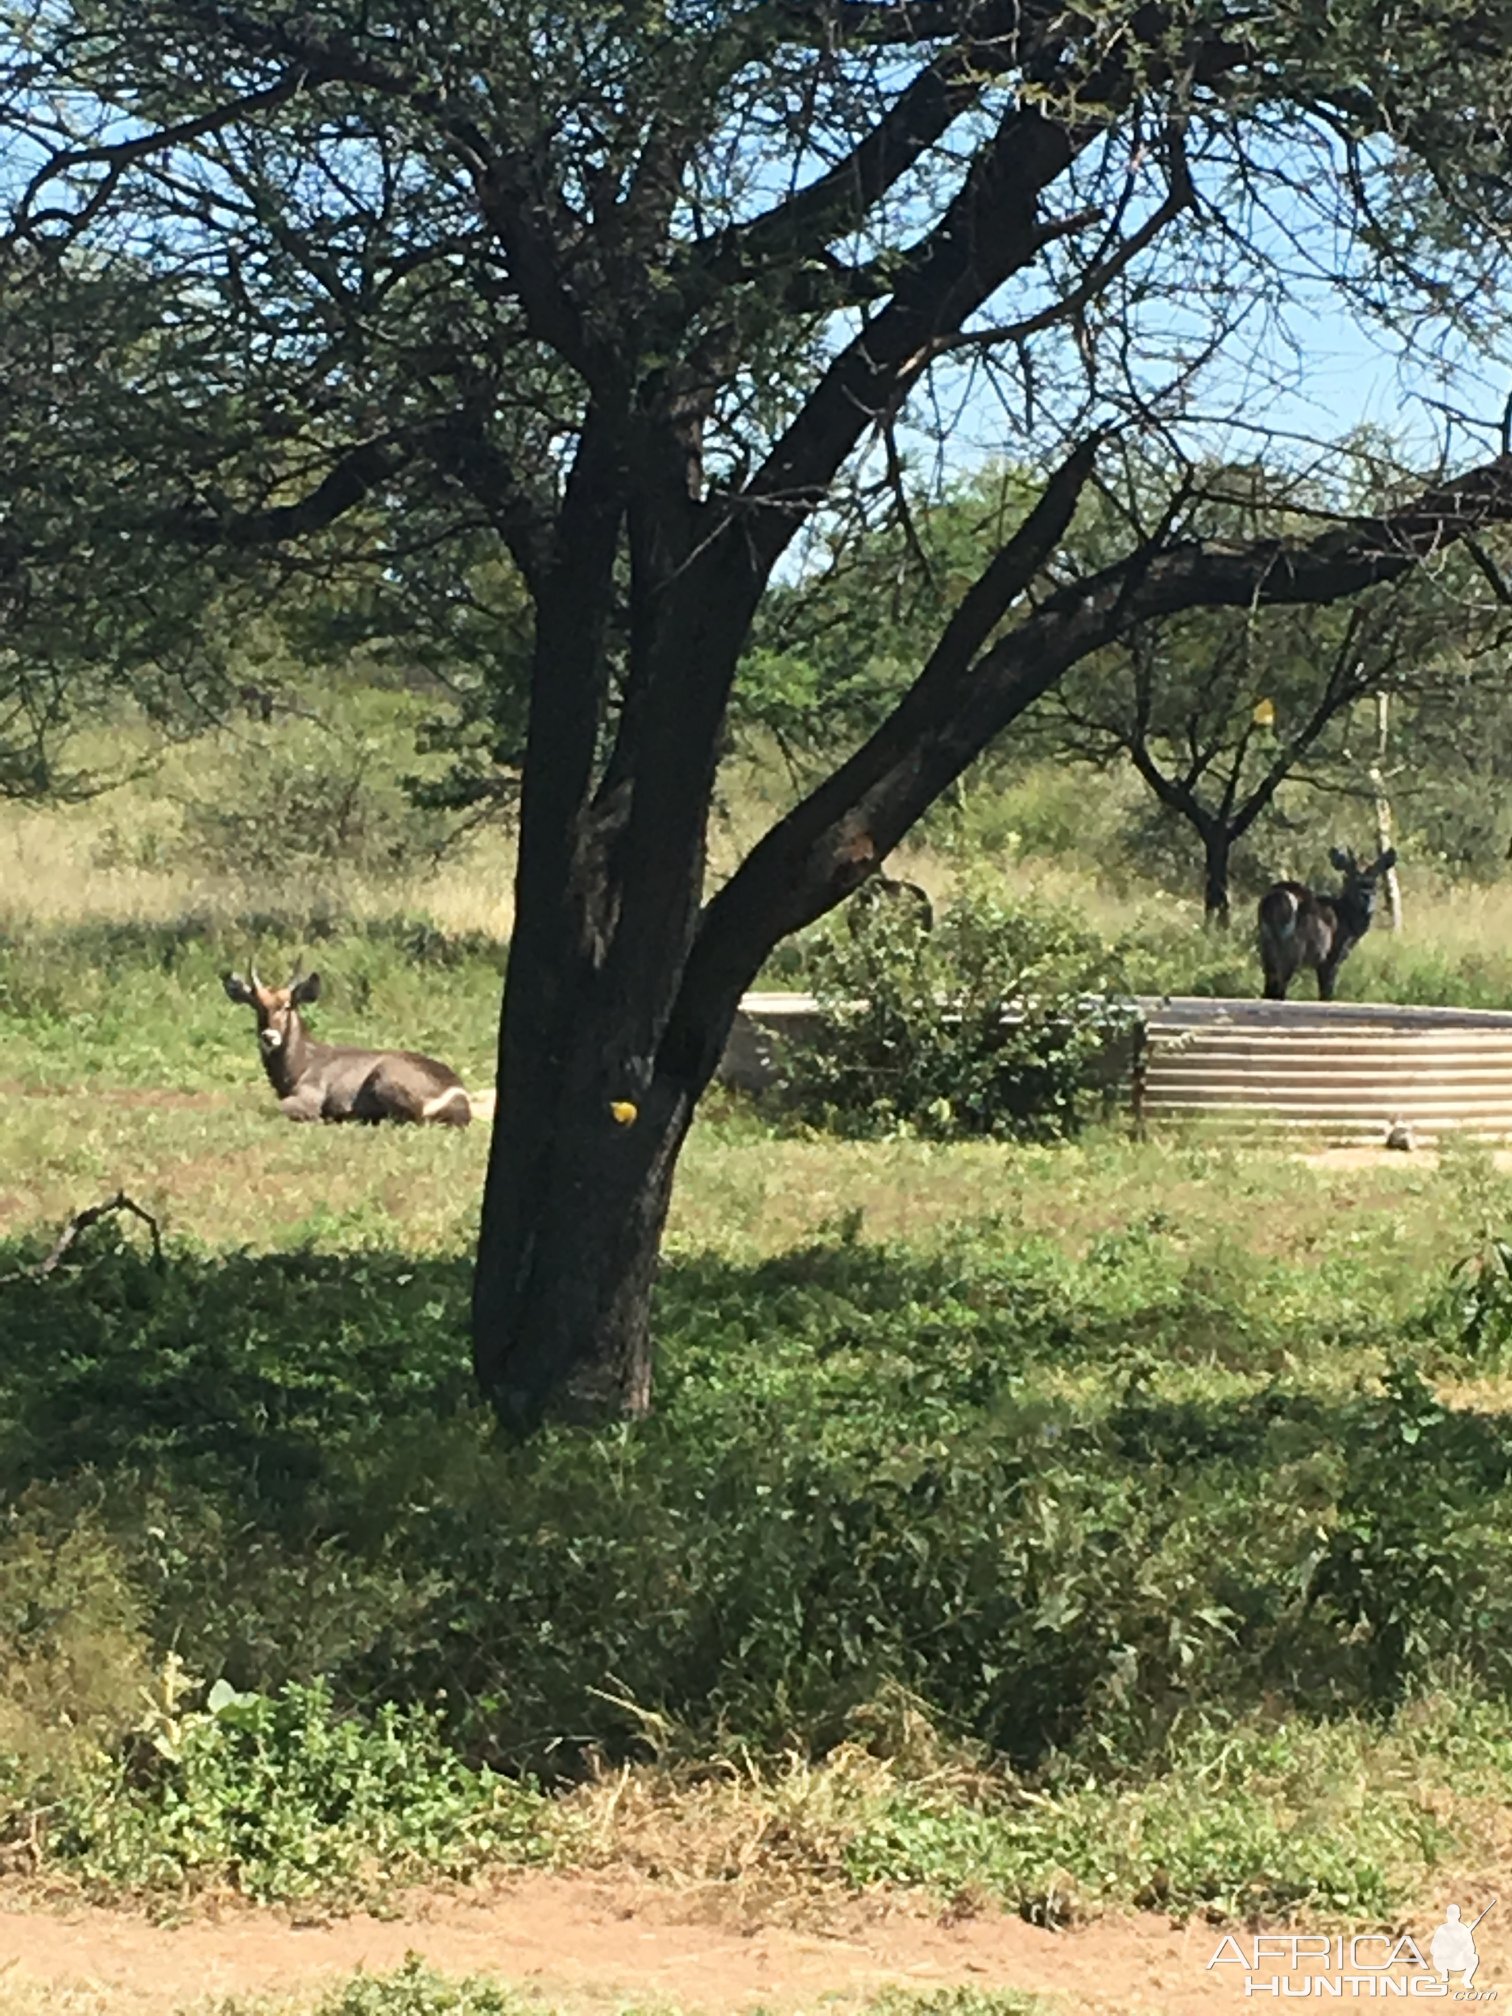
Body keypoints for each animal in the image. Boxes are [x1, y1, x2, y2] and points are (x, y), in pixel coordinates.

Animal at [221, 967, 471, 1128]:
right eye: (257, 1006)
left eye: (287, 1006)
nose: (269, 1036)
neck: (303, 1063)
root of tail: (457, 1091)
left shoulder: (309, 1097)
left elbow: (269, 1108)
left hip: (385, 1080)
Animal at [1257, 842, 1403, 999]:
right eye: (1350, 878)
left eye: (1375, 881)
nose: (1366, 895)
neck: (1346, 917)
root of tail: (1276, 897)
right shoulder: (1331, 958)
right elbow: (1326, 994)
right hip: (1293, 950)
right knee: (1278, 990)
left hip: (1267, 948)